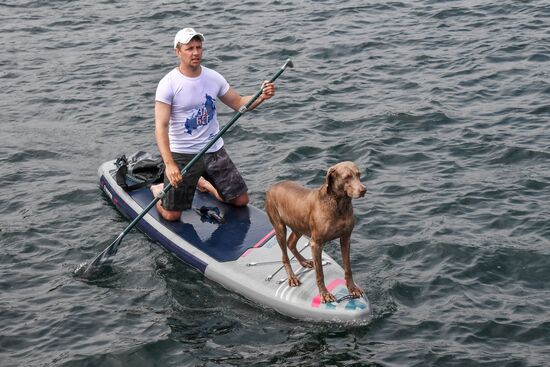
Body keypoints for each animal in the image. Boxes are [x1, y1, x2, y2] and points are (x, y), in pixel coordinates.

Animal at [266, 162, 368, 304]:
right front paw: (325, 294)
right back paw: (292, 278)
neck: (339, 205)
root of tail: (271, 187)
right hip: (280, 227)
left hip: (298, 225)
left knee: (290, 243)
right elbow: (320, 273)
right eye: (347, 177)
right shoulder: (316, 243)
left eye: (358, 174)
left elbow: (348, 268)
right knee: (284, 255)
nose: (363, 190)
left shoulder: (346, 238)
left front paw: (353, 288)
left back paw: (305, 262)